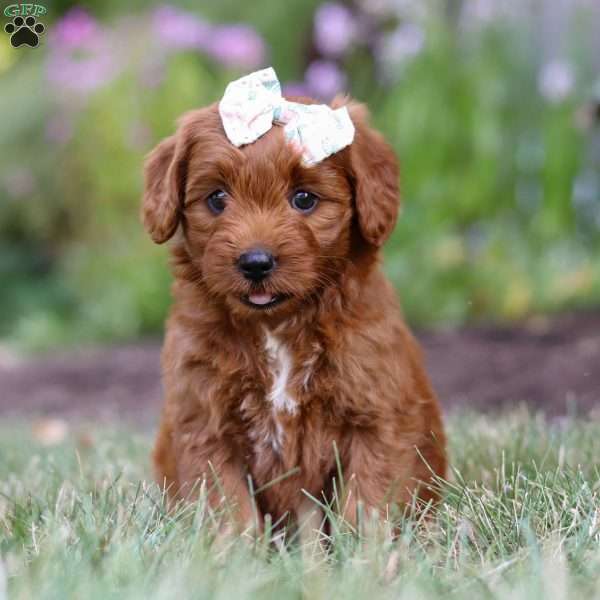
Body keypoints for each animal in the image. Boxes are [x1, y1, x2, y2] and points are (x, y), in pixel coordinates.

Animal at [143, 92, 448, 528]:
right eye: (217, 198)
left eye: (304, 199)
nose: (255, 262)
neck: (275, 326)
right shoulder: (204, 423)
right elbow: (230, 508)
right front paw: (231, 547)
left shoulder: (378, 417)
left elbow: (367, 500)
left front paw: (364, 547)